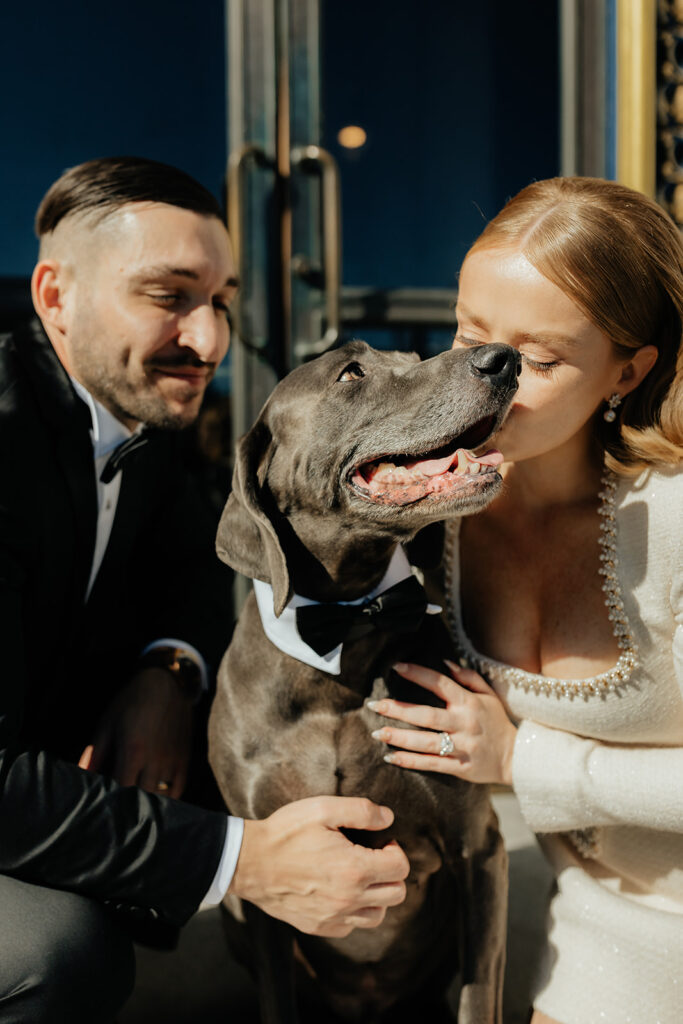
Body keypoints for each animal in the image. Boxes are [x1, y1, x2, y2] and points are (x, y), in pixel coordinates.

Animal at [208, 339, 518, 1019]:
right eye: (351, 374)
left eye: (409, 355)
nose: (503, 359)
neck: (344, 634)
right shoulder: (269, 866)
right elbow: (277, 996)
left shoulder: (479, 848)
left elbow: (479, 990)